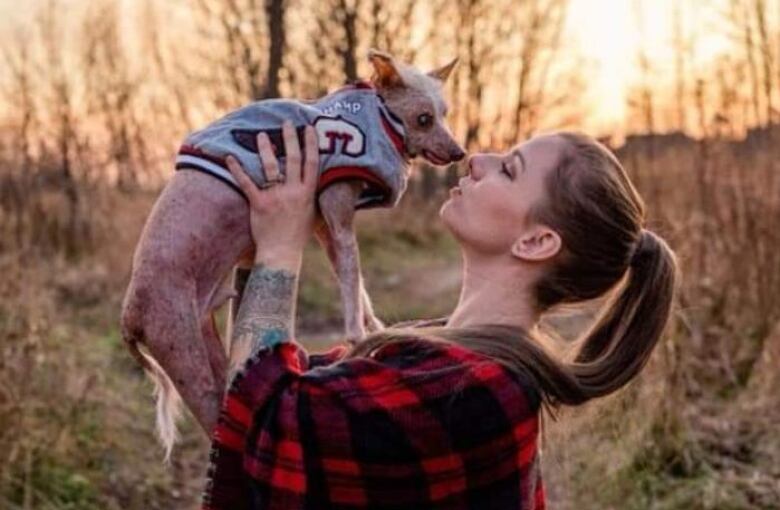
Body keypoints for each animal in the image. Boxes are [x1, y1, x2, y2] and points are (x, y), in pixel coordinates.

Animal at [121, 49, 464, 456]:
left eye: (444, 113)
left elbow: (357, 286)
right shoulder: (337, 214)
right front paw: (358, 339)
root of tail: (129, 315)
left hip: (211, 346)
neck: (382, 116)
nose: (460, 152)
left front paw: (378, 331)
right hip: (187, 359)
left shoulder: (323, 224)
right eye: (423, 119)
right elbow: (352, 284)